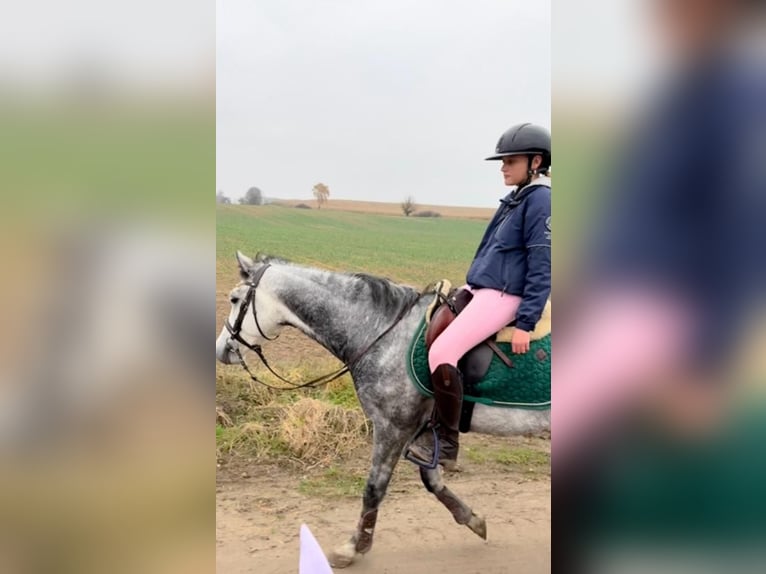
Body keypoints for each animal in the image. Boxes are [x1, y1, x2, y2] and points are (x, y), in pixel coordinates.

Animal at [215, 251, 550, 568]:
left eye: (234, 299)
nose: (221, 350)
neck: (380, 331)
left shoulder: (392, 427)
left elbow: (374, 488)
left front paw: (354, 547)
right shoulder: (421, 429)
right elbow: (432, 481)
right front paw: (472, 519)